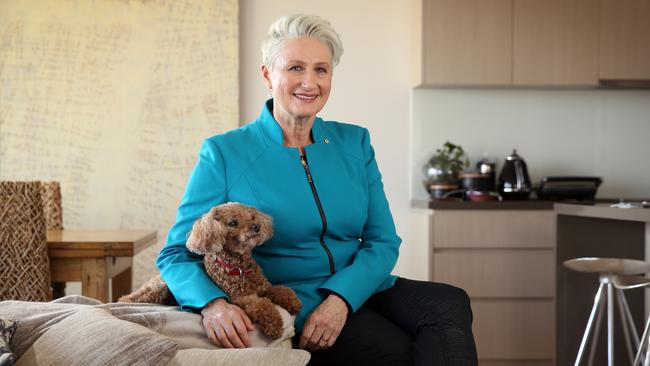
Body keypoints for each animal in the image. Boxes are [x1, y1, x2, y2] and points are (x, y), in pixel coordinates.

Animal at [119, 202, 302, 338]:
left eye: (251, 217)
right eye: (233, 222)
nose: (256, 226)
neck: (239, 268)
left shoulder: (264, 287)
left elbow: (281, 290)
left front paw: (293, 302)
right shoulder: (240, 299)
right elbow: (261, 304)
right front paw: (275, 325)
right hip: (159, 288)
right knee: (130, 298)